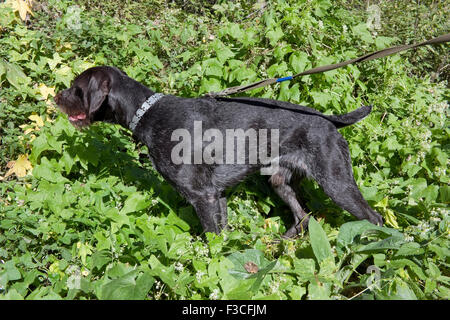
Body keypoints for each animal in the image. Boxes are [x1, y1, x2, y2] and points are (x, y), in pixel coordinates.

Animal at [53, 65, 384, 238]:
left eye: (76, 88)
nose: (56, 97)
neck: (147, 114)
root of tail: (331, 120)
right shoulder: (218, 196)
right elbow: (221, 240)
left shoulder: (203, 196)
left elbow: (210, 241)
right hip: (279, 181)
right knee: (302, 216)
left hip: (336, 182)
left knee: (375, 218)